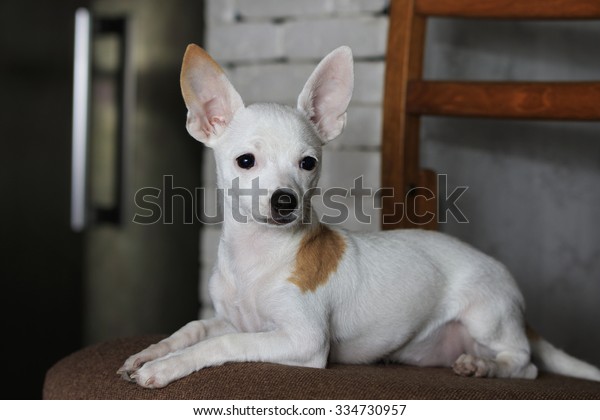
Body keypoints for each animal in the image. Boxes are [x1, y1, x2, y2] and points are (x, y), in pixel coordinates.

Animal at [118, 43, 600, 388]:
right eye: (246, 161)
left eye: (308, 163)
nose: (285, 201)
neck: (257, 257)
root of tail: (516, 300)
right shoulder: (232, 318)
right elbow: (195, 327)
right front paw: (151, 352)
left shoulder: (302, 341)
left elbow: (226, 344)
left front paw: (167, 367)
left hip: (488, 317)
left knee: (525, 365)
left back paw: (486, 367)